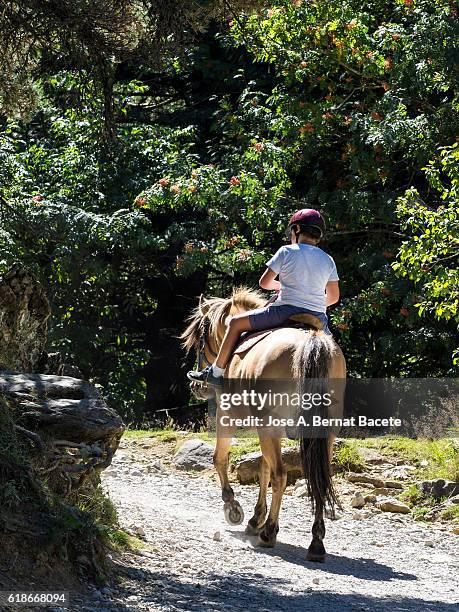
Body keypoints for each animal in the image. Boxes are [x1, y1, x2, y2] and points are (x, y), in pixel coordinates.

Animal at [181, 286, 346, 564]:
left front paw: (234, 508)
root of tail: (310, 342)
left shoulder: (229, 415)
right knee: (318, 479)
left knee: (281, 475)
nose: (196, 385)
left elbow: (221, 459)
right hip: (324, 432)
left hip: (269, 425)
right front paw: (256, 518)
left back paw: (269, 533)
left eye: (201, 339)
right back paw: (315, 542)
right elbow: (263, 469)